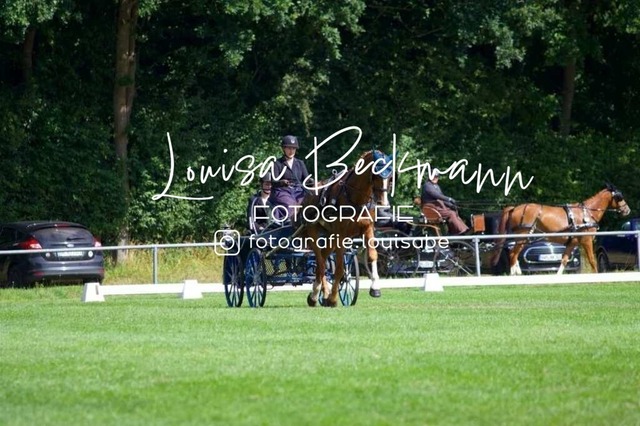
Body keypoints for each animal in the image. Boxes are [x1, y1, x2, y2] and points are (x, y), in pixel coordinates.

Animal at [294, 150, 393, 307]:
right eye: (376, 174)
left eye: (390, 177)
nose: (384, 204)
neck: (355, 198)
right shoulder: (341, 234)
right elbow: (340, 268)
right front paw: (333, 298)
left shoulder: (368, 228)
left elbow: (372, 255)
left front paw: (375, 288)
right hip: (312, 231)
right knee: (320, 262)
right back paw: (316, 295)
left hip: (330, 234)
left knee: (323, 259)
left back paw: (322, 294)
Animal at [492, 183, 631, 275]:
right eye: (619, 197)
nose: (627, 210)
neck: (586, 213)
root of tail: (515, 208)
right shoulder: (586, 240)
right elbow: (592, 260)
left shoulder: (572, 243)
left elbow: (564, 260)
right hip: (523, 235)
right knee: (513, 254)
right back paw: (514, 274)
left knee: (513, 254)